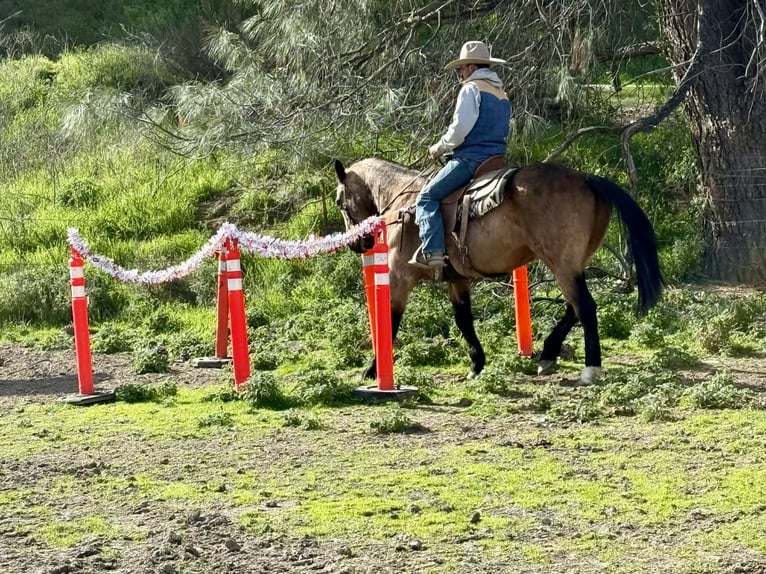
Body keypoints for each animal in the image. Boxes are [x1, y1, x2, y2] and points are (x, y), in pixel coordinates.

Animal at [334, 157, 663, 385]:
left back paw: (589, 369)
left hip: (562, 265)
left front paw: (372, 369)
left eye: (339, 200)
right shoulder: (457, 279)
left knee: (585, 307)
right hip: (572, 265)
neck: (403, 203)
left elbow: (390, 321)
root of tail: (585, 178)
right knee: (573, 308)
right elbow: (464, 319)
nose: (358, 243)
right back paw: (547, 354)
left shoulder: (399, 277)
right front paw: (476, 364)